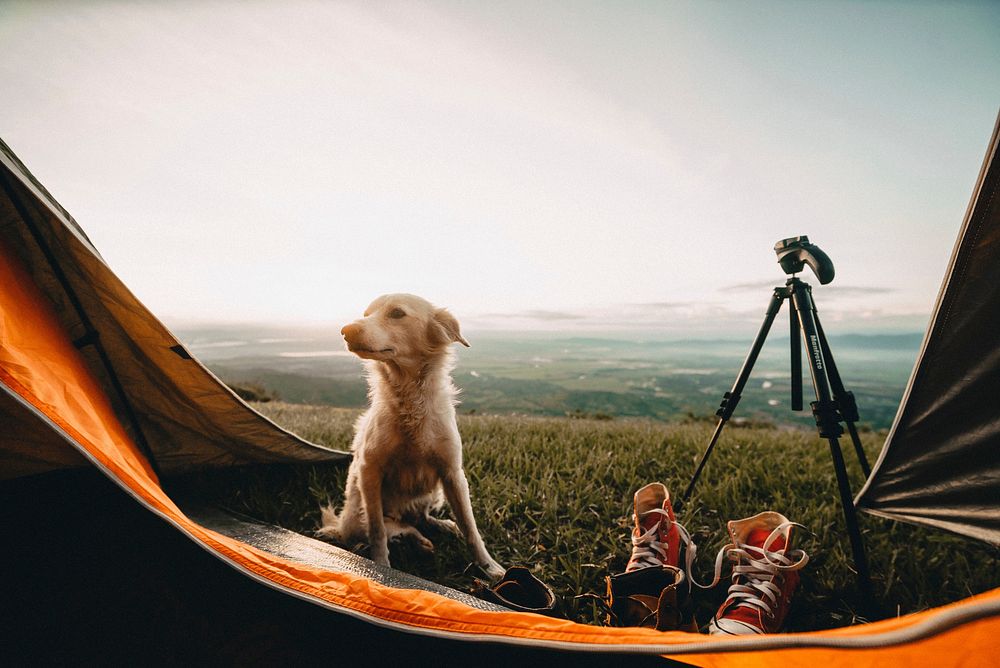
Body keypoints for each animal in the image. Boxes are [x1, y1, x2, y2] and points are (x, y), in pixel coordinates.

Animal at [318, 294, 508, 580]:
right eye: (366, 314)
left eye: (397, 313)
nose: (346, 330)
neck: (409, 400)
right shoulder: (369, 471)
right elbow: (377, 531)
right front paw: (381, 566)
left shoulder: (452, 473)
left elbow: (470, 527)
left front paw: (490, 567)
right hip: (362, 518)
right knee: (400, 528)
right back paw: (418, 541)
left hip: (435, 492)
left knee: (420, 519)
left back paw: (442, 527)